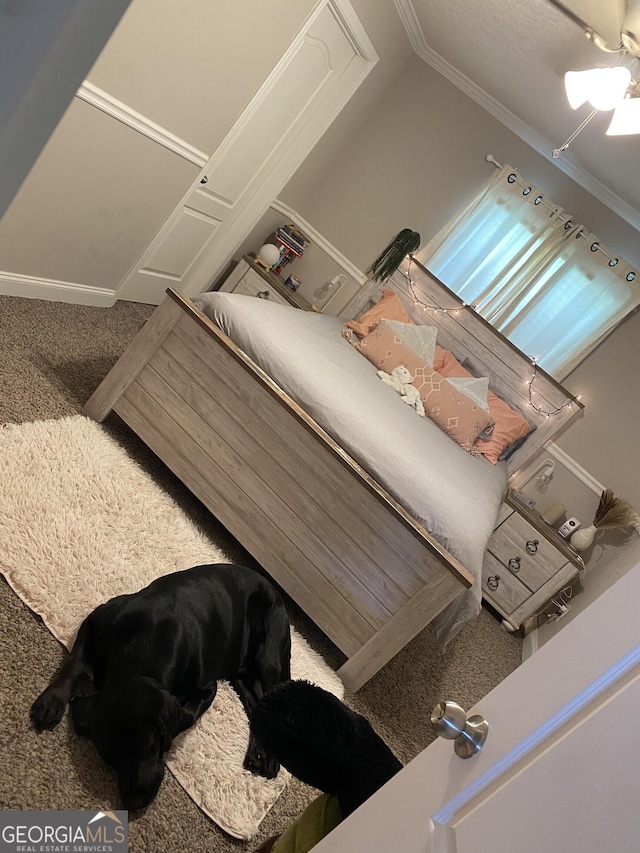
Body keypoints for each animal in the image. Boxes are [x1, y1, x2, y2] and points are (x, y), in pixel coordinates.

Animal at [29, 564, 290, 808]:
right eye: (110, 758)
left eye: (148, 746)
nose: (133, 802)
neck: (145, 644)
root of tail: (274, 590)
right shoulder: (95, 621)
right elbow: (73, 661)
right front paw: (51, 702)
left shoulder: (207, 688)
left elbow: (186, 715)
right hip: (239, 671)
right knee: (256, 703)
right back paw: (258, 752)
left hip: (269, 657)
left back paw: (269, 758)